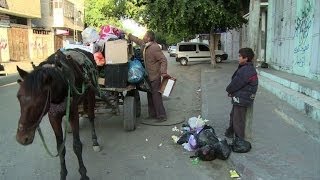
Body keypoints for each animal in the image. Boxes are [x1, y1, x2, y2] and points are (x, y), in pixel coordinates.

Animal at [15, 48, 99, 180]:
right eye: (18, 97)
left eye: (39, 102)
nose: (22, 138)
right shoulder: (53, 117)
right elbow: (60, 148)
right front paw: (63, 174)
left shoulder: (73, 113)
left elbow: (77, 146)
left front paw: (84, 174)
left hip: (91, 93)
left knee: (91, 116)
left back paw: (95, 141)